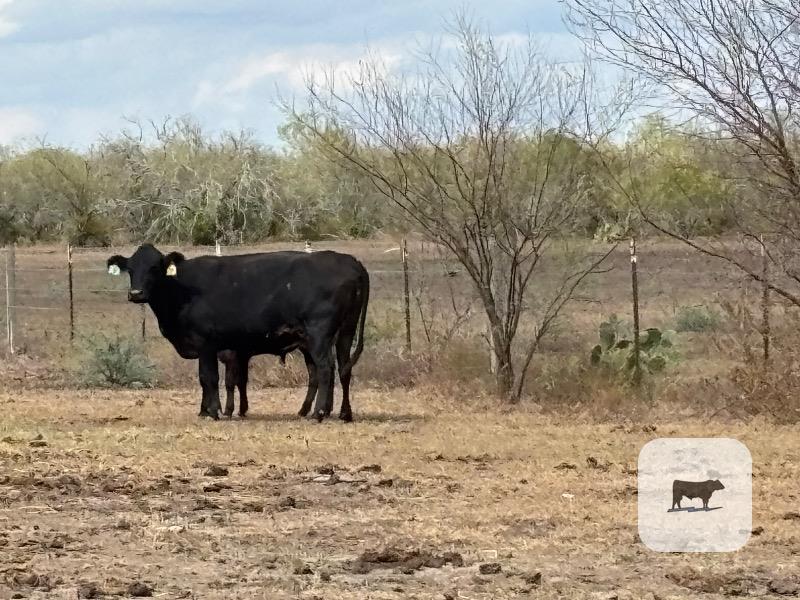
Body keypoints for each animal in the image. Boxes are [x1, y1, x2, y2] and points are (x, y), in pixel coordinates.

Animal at [106, 244, 369, 421]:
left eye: (154, 268)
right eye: (130, 269)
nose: (136, 293)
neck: (180, 289)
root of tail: (351, 261)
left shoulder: (207, 343)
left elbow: (209, 377)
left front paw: (213, 412)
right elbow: (212, 380)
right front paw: (205, 410)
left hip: (319, 335)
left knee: (326, 369)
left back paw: (319, 413)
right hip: (345, 332)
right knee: (344, 369)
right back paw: (344, 413)